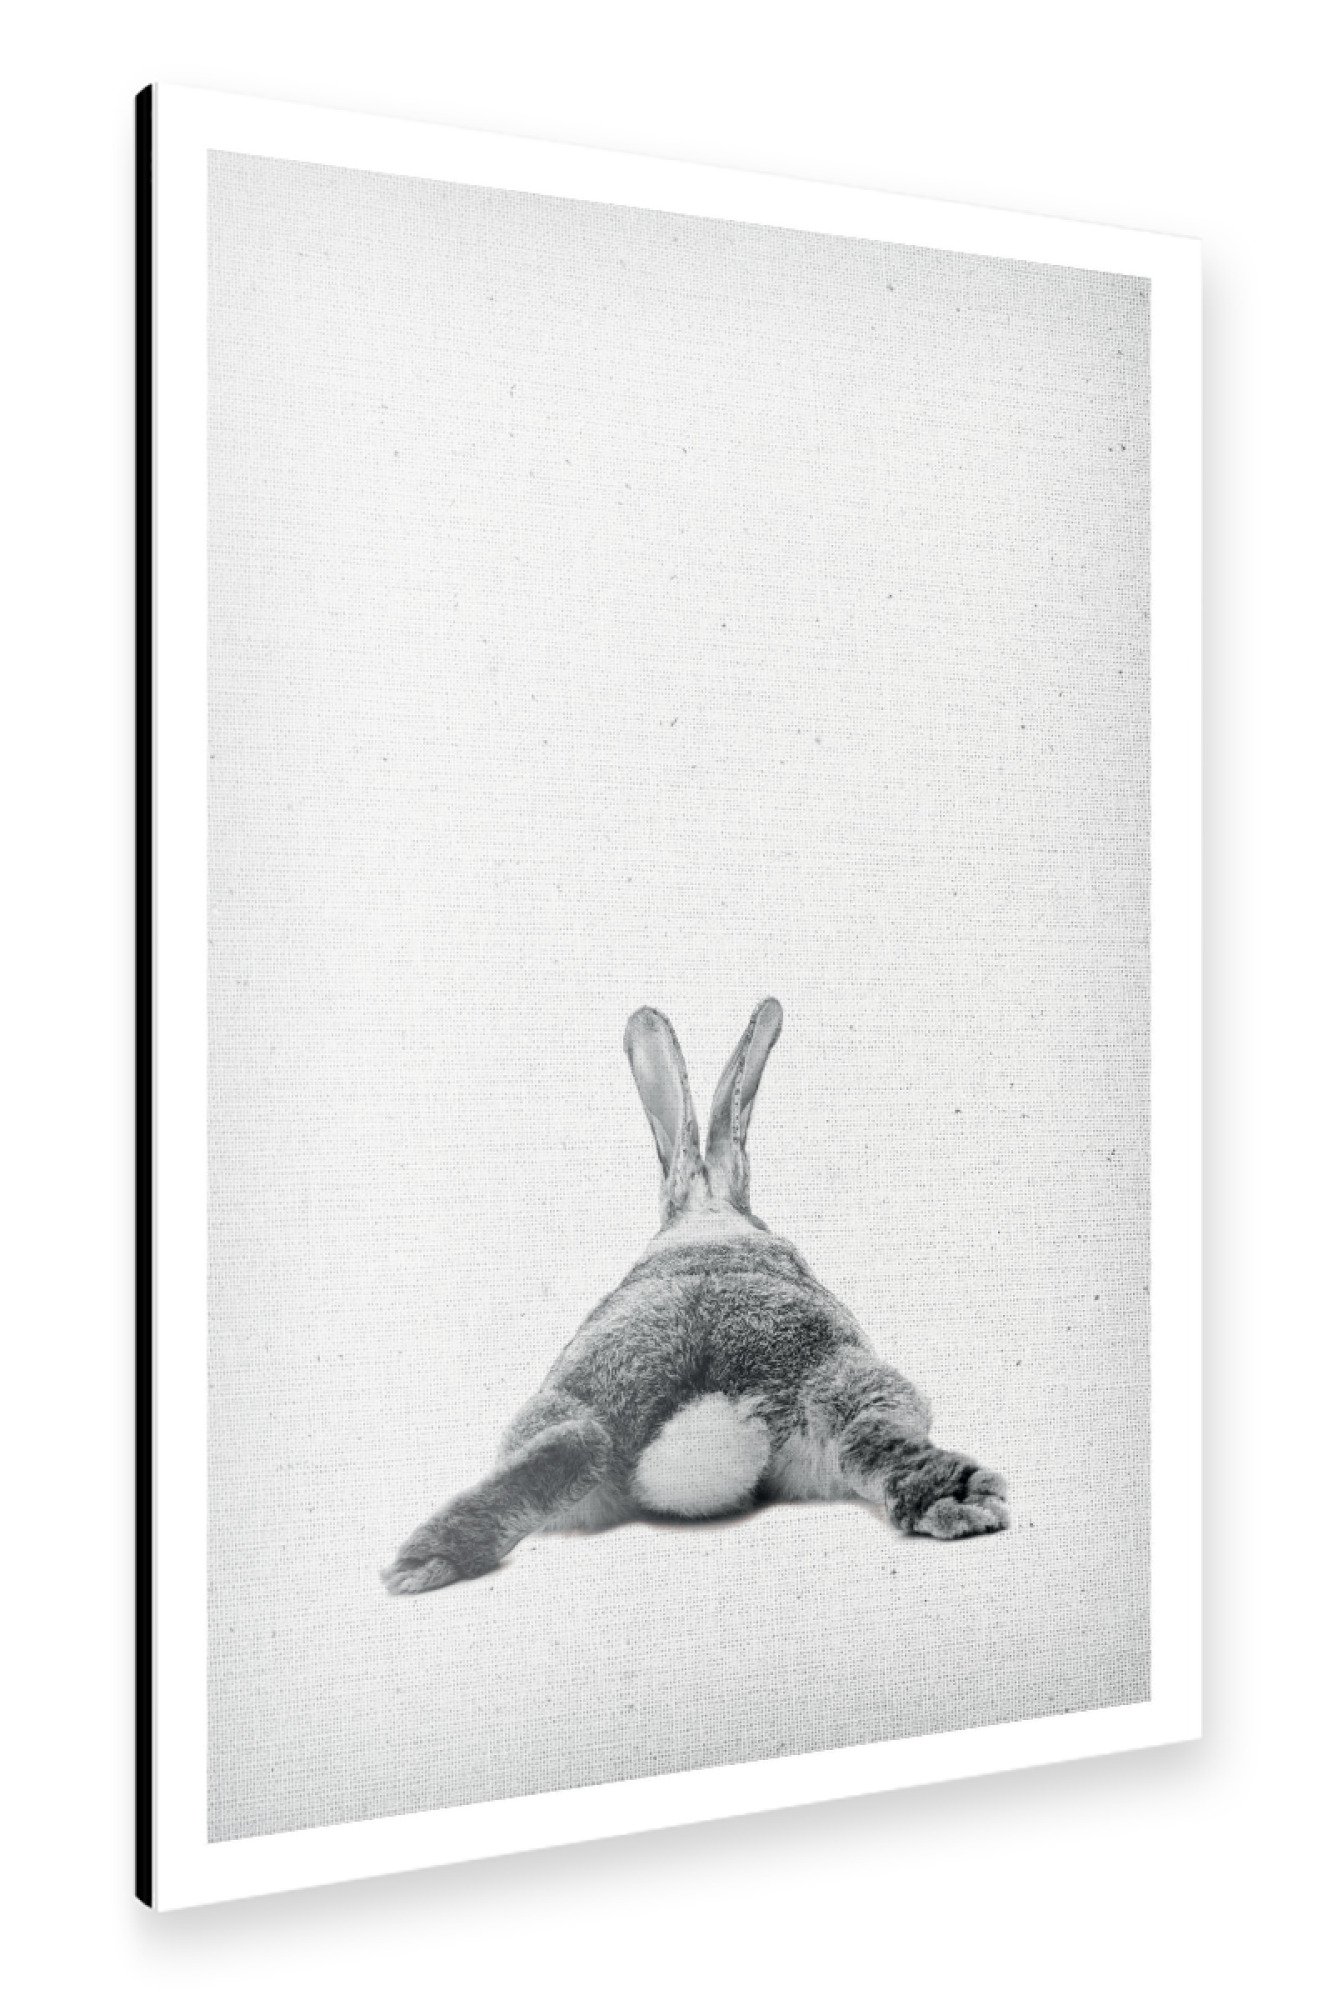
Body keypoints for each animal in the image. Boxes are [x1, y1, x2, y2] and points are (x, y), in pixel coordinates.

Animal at [382, 998, 1008, 1594]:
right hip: (851, 1381)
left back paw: (422, 1564)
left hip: (566, 1416)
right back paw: (963, 1500)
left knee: (572, 1445)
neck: (706, 1224)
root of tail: (705, 1411)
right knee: (870, 1436)